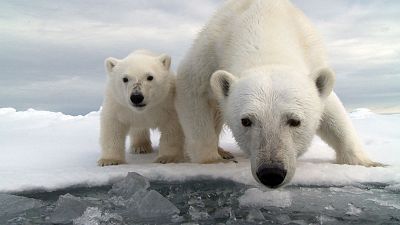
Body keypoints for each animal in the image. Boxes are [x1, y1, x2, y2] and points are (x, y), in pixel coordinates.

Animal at [176, 0, 382, 188]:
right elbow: (192, 91)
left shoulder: (313, 57)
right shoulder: (210, 51)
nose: (271, 173)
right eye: (246, 121)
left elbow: (333, 113)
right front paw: (212, 160)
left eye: (295, 121)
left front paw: (368, 163)